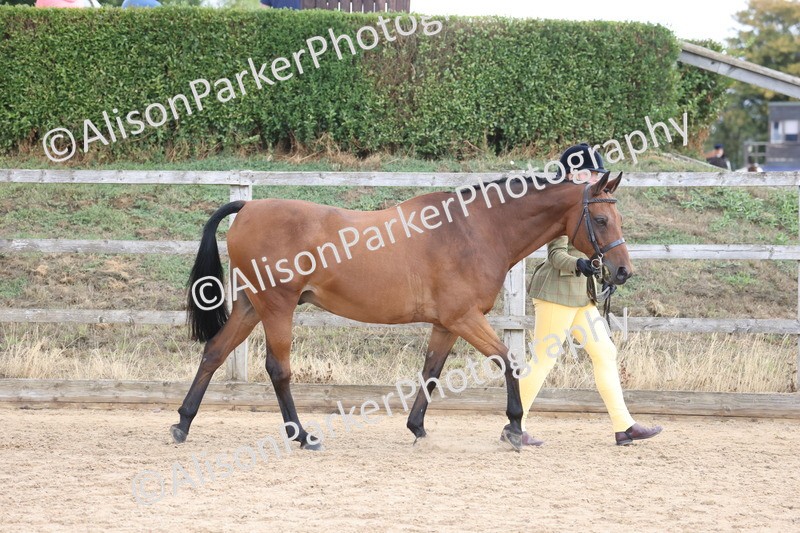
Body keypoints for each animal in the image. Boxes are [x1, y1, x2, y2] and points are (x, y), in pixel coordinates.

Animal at [171, 171, 631, 451]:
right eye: (602, 220)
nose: (622, 270)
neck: (474, 230)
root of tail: (248, 207)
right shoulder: (465, 318)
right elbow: (507, 361)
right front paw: (514, 427)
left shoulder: (447, 324)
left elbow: (431, 373)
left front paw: (417, 428)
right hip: (277, 307)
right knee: (277, 368)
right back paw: (302, 436)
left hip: (252, 305)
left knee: (214, 353)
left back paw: (183, 423)